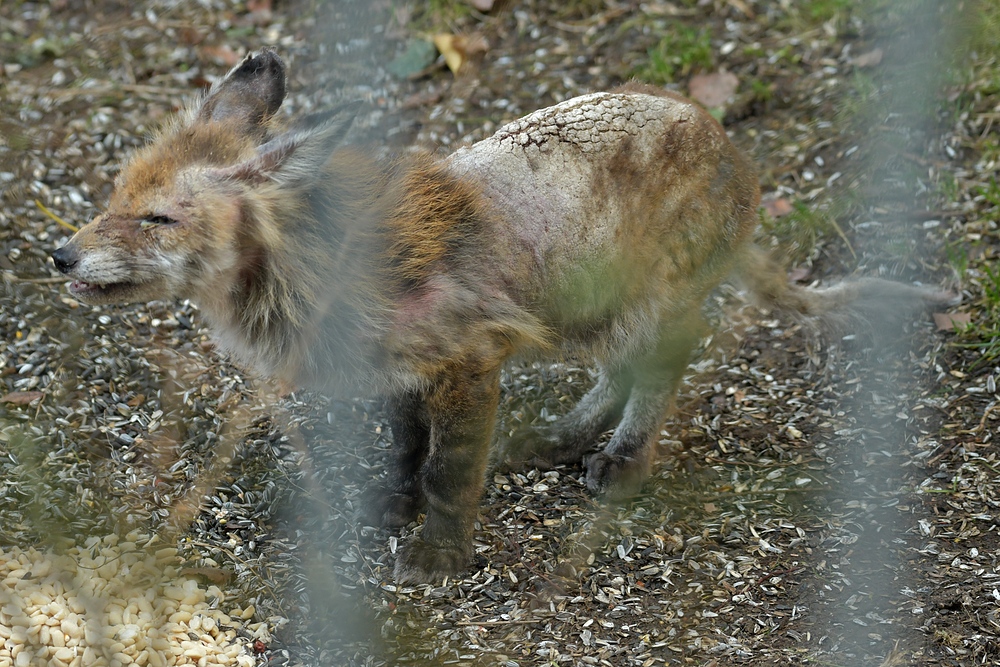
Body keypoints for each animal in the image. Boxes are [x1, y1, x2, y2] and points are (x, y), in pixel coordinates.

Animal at [48, 51, 952, 584]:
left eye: (158, 219)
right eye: (113, 197)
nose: (59, 255)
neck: (314, 277)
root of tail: (738, 155)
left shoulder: (469, 362)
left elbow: (448, 473)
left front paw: (439, 555)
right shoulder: (404, 372)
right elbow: (405, 452)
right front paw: (389, 508)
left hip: (640, 307)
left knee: (666, 363)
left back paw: (623, 457)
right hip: (587, 311)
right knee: (619, 371)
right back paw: (563, 434)